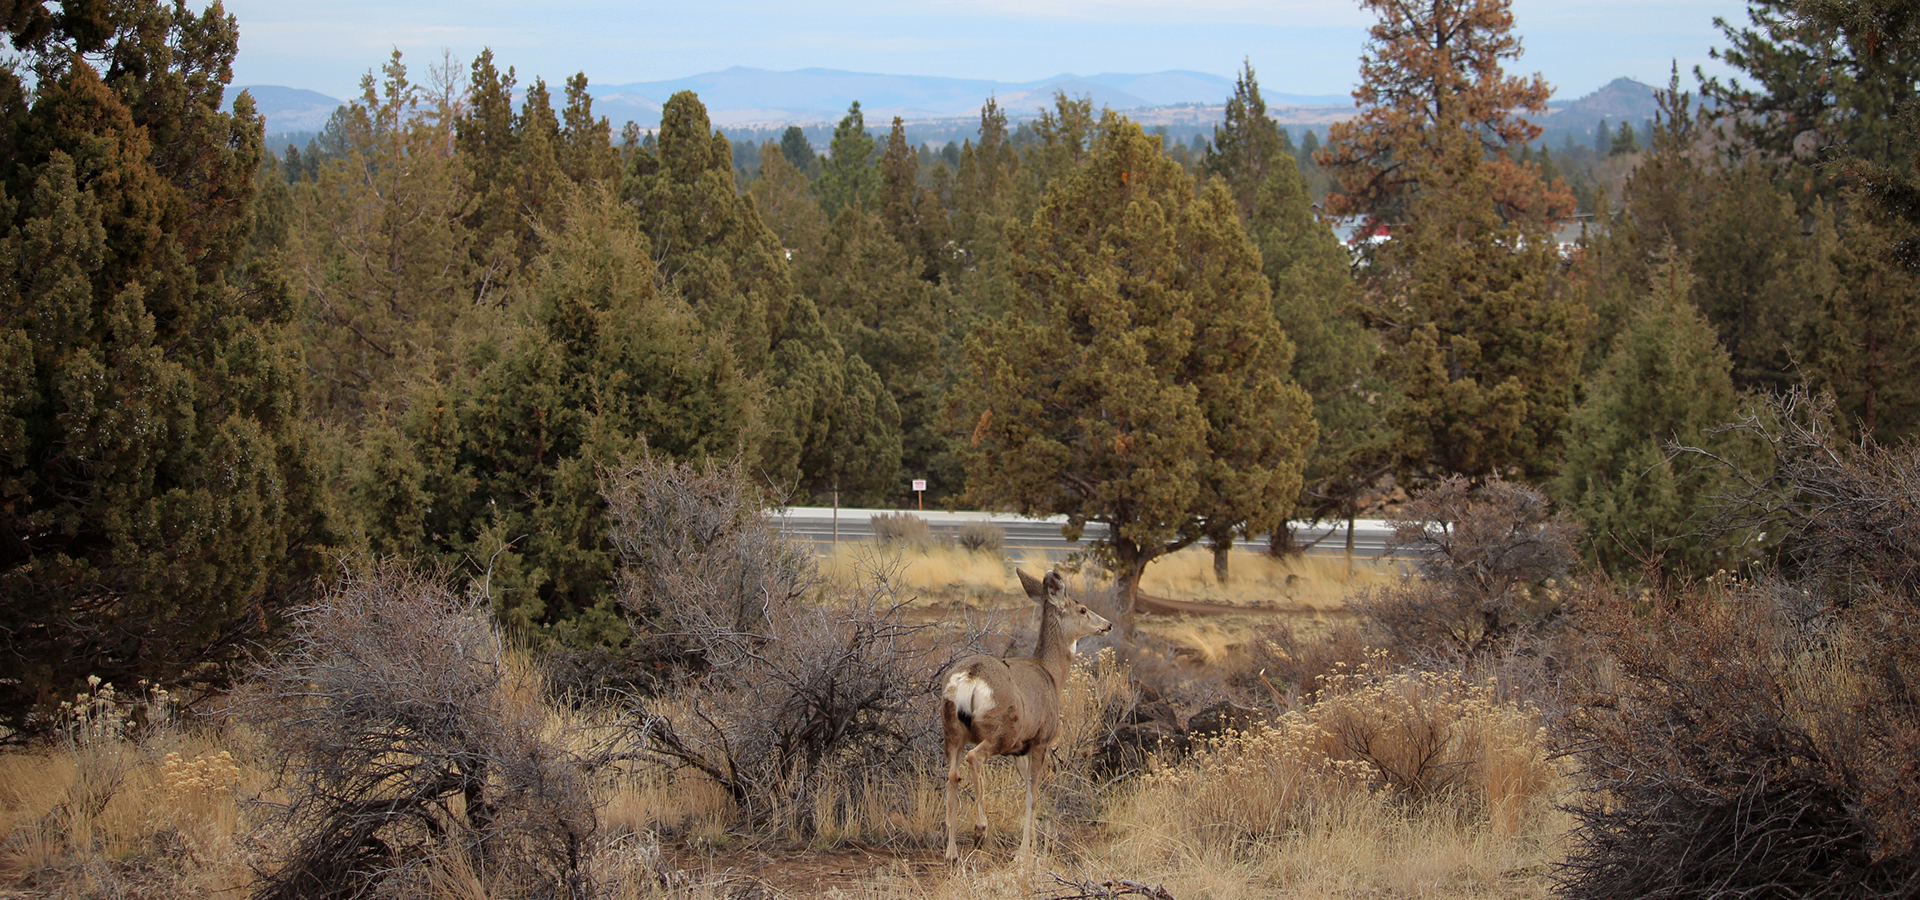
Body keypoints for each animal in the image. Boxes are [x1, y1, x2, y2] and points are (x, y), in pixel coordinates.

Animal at [940, 568, 1113, 855]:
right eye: (1083, 609)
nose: (1108, 624)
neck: (1051, 674)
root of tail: (970, 676)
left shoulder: (1019, 749)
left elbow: (1027, 792)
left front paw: (1029, 844)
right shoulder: (1041, 739)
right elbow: (1033, 796)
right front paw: (1024, 853)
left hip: (952, 729)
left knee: (952, 776)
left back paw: (952, 852)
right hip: (1001, 730)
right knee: (975, 758)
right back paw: (980, 829)